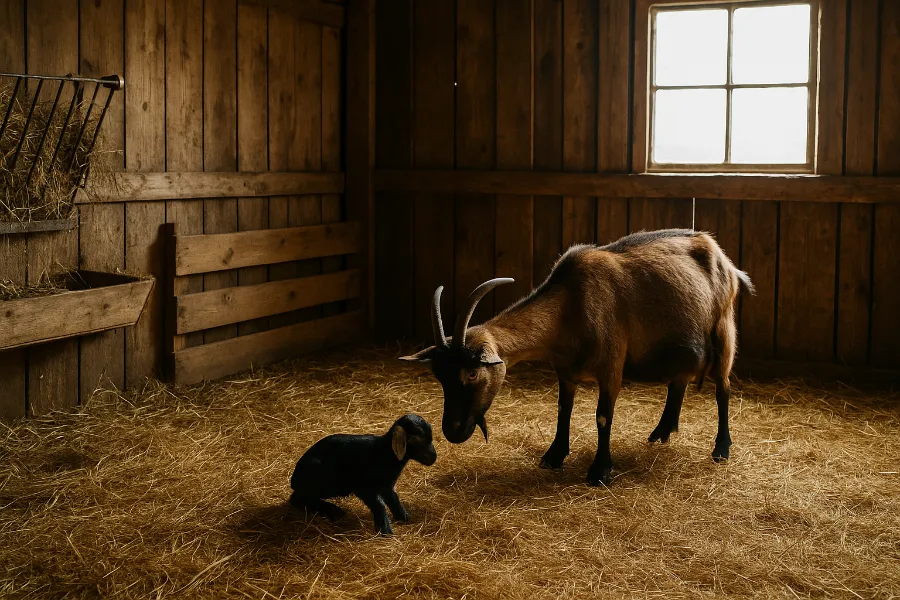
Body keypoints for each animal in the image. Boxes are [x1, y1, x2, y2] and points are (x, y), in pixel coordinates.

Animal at [289, 414, 438, 535]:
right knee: (297, 498)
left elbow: (393, 499)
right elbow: (379, 504)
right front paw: (385, 530)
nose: (433, 457)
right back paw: (332, 510)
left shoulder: (387, 485)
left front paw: (404, 517)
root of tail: (294, 479)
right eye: (416, 438)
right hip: (324, 481)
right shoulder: (362, 487)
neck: (385, 452)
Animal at [400, 229, 754, 486]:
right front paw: (554, 455)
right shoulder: (565, 370)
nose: (452, 430)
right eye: (439, 375)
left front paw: (600, 471)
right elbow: (563, 409)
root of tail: (725, 260)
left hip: (723, 331)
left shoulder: (612, 365)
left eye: (472, 373)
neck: (571, 304)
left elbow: (602, 417)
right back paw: (661, 433)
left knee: (723, 388)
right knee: (678, 381)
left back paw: (721, 449)